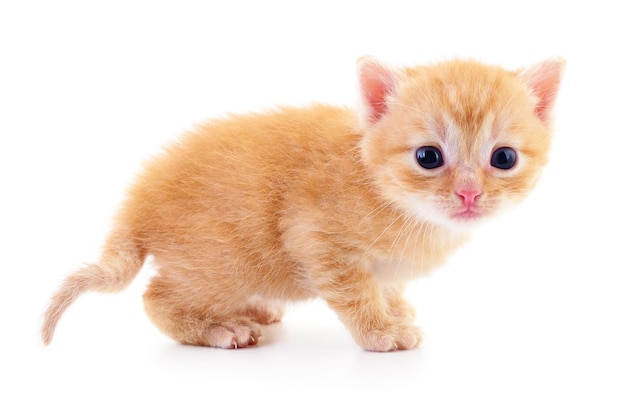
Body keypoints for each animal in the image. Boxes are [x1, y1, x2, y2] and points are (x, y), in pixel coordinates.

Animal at [41, 57, 564, 352]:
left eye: (504, 158)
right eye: (428, 157)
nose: (470, 194)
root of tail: (139, 200)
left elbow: (385, 285)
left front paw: (395, 310)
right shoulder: (315, 236)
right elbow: (356, 292)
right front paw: (381, 333)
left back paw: (253, 311)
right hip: (220, 264)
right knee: (156, 298)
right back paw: (220, 330)